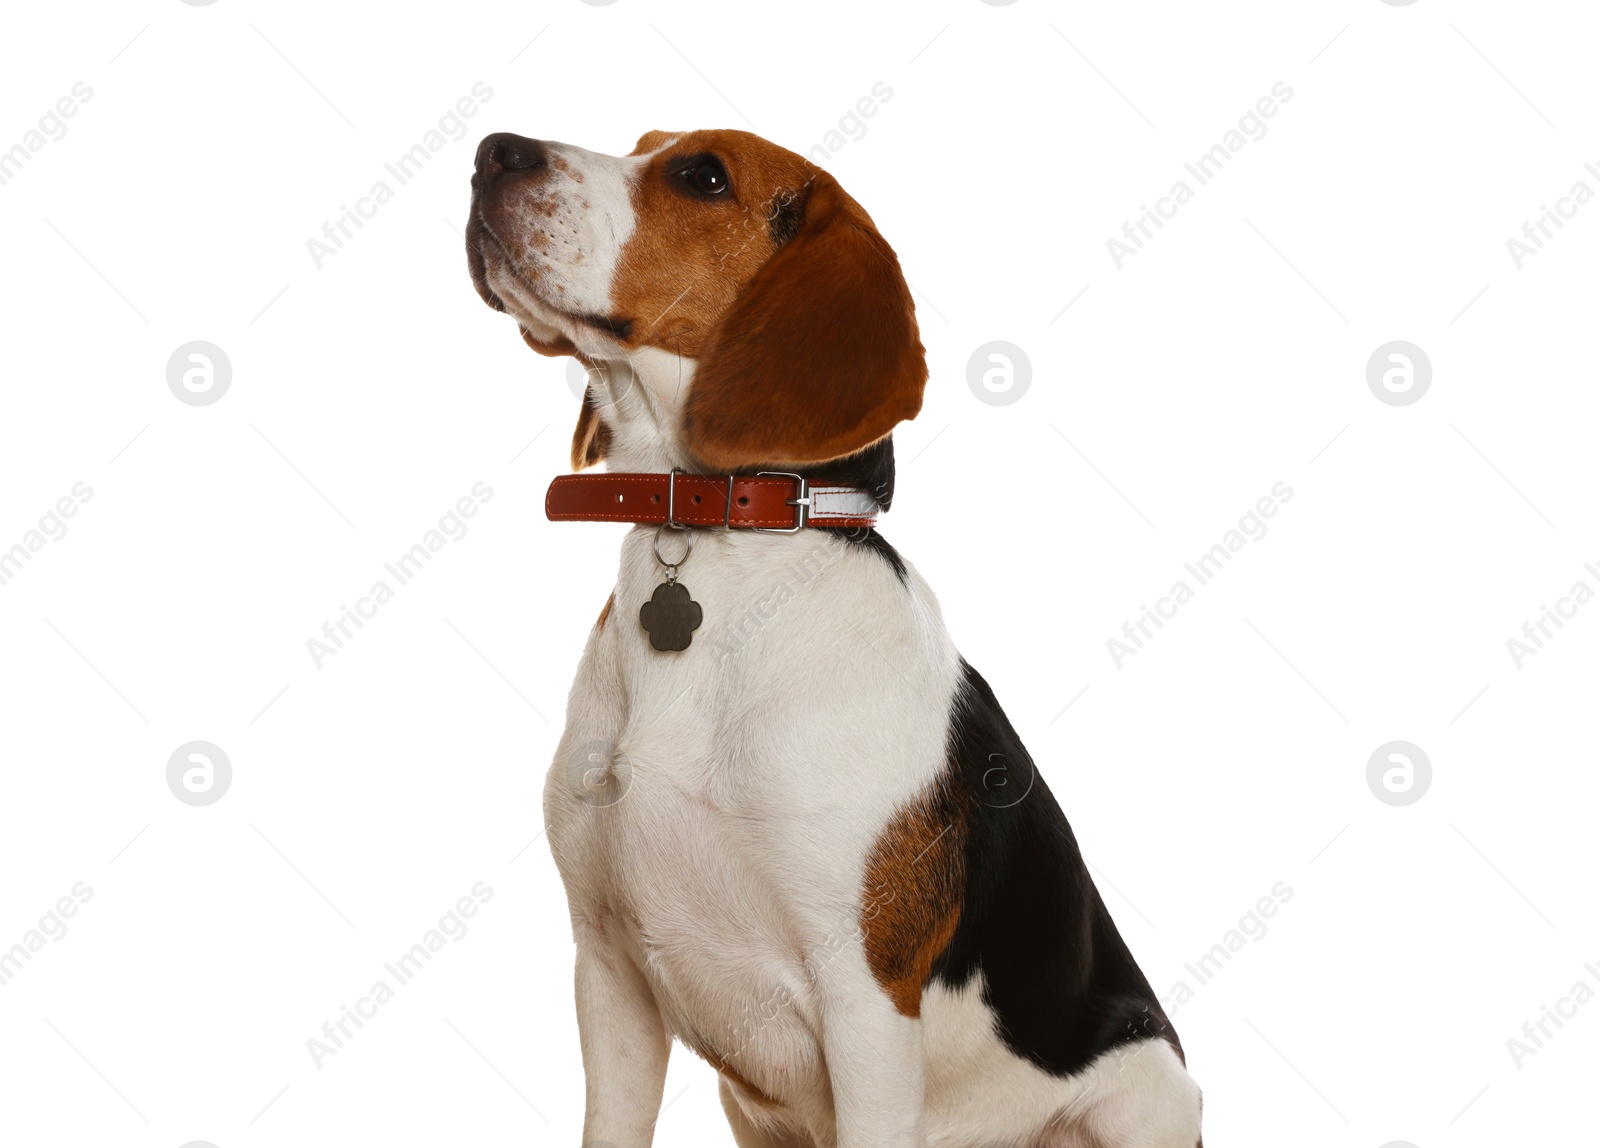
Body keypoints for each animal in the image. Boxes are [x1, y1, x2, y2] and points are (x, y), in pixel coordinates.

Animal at [464, 130, 1203, 1144]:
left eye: (702, 175)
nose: (493, 151)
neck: (722, 551)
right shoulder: (606, 973)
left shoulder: (866, 1007)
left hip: (1148, 1089)